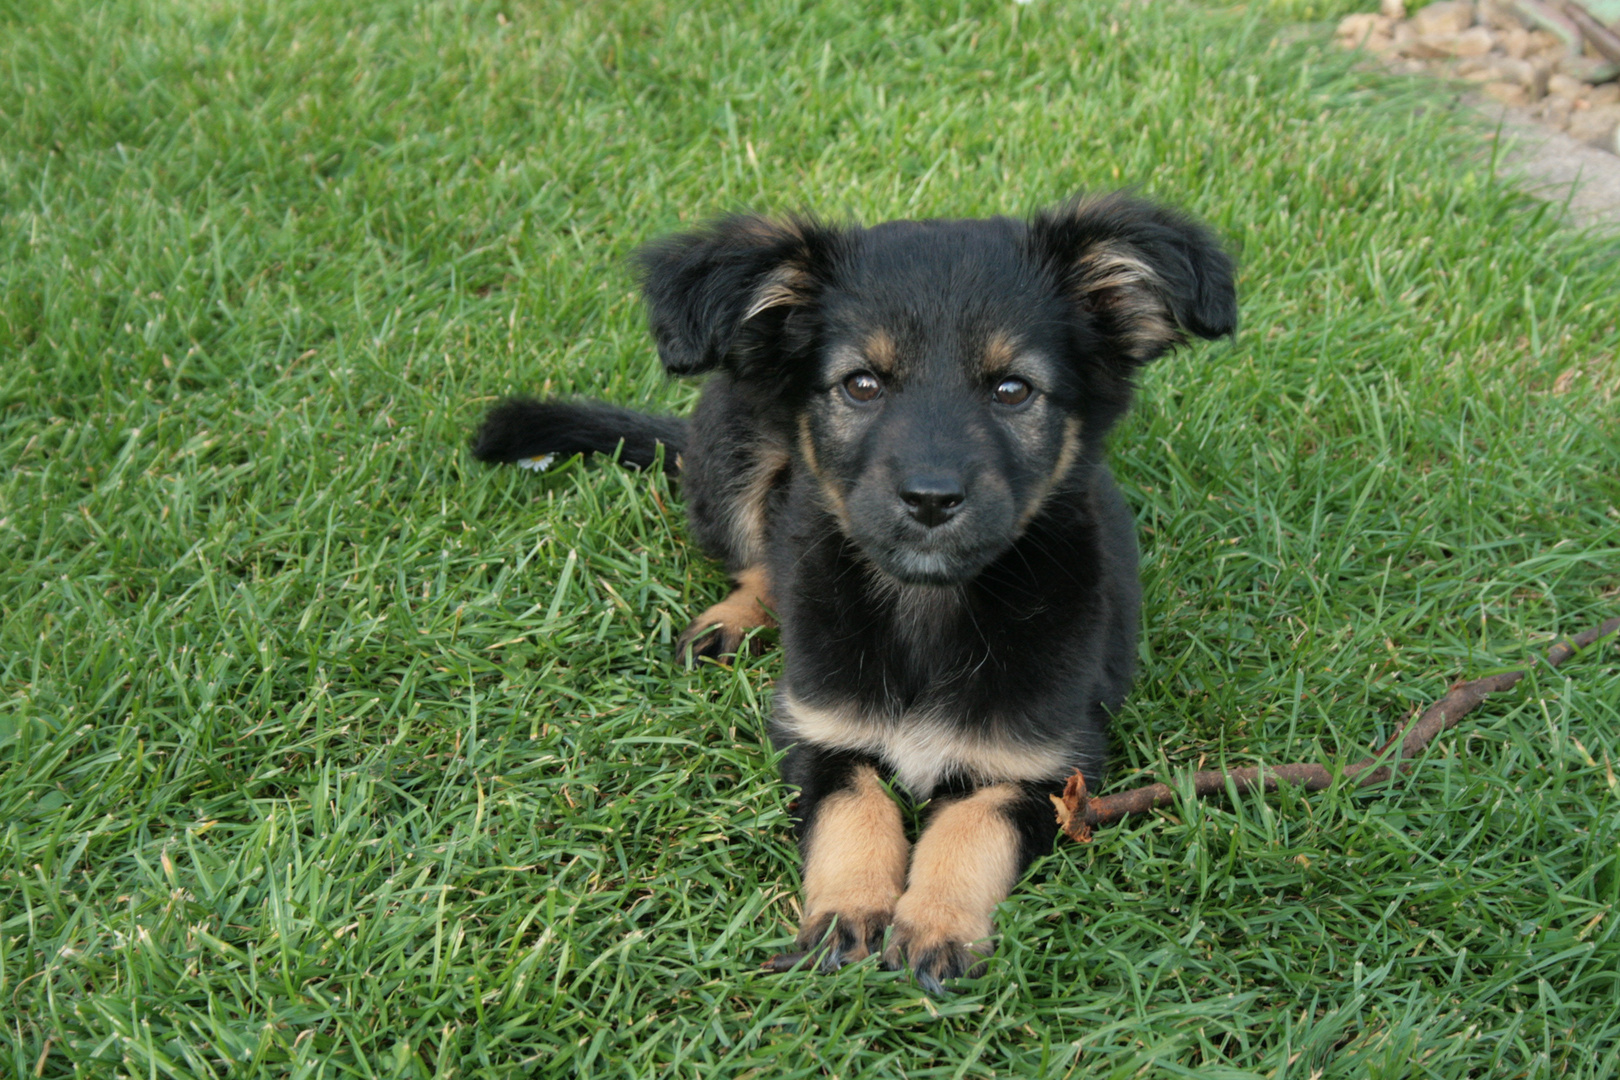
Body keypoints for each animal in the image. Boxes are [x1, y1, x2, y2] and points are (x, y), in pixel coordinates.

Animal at [473, 191, 1231, 990]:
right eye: (861, 384)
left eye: (1012, 389)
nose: (930, 500)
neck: (927, 607)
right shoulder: (818, 731)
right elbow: (855, 811)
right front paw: (847, 912)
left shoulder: (1047, 764)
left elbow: (971, 826)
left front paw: (935, 924)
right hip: (737, 435)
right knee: (763, 560)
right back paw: (729, 623)